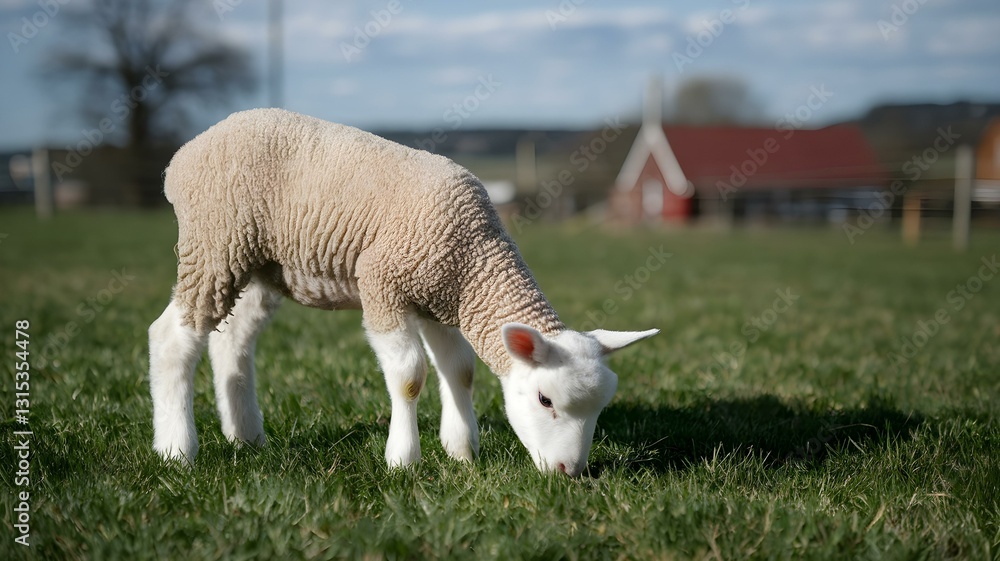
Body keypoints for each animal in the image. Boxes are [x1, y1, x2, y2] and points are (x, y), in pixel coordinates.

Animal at [149, 108, 658, 476]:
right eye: (545, 401)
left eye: (600, 409)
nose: (570, 472)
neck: (475, 257)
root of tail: (180, 159)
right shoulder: (383, 286)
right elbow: (410, 376)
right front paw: (403, 459)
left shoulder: (440, 300)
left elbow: (460, 371)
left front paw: (462, 451)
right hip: (214, 243)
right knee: (172, 338)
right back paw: (177, 449)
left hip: (256, 266)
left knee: (231, 343)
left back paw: (246, 436)